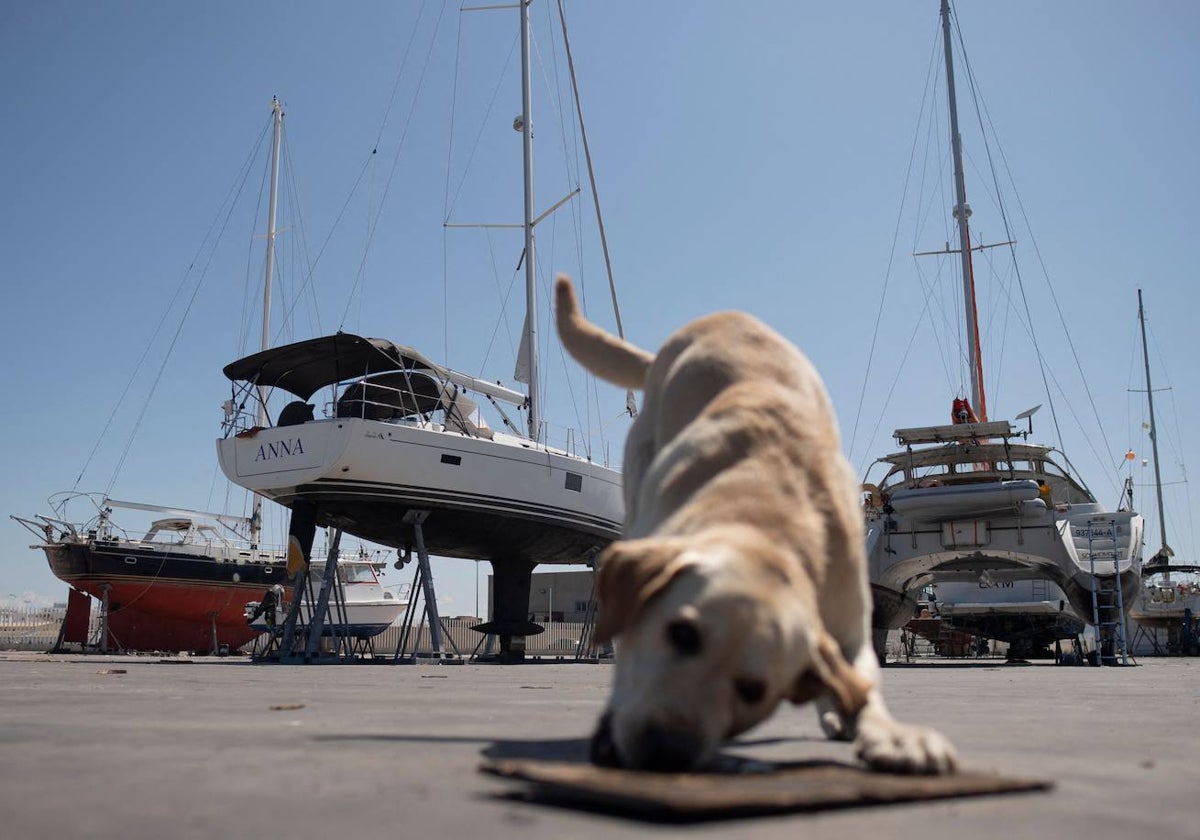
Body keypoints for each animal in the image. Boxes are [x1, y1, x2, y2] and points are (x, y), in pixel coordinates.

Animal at [552, 276, 955, 772]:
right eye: (681, 634)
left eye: (753, 691)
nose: (666, 748)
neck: (769, 517)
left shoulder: (850, 629)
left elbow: (862, 686)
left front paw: (890, 733)